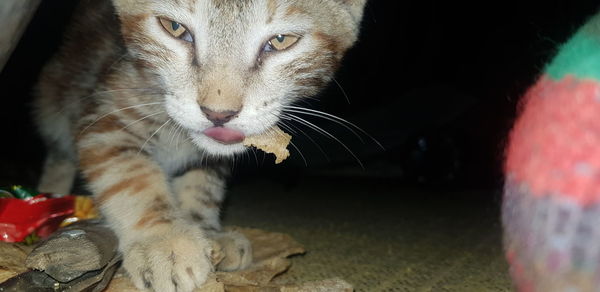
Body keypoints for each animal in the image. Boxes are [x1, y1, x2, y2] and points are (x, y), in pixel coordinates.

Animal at [35, 1, 368, 290]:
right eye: (174, 27)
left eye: (282, 40)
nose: (218, 113)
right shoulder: (105, 121)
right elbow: (130, 176)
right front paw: (163, 241)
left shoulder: (209, 157)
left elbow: (201, 186)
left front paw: (208, 232)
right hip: (57, 94)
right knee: (59, 151)